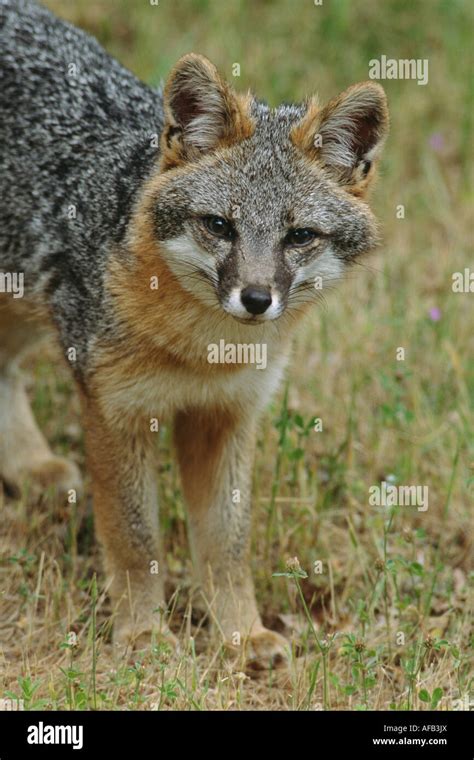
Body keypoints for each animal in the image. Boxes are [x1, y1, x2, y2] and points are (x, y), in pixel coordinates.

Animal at [0, 0, 388, 664]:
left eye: (299, 237)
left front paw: (242, 634)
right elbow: (135, 541)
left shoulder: (227, 414)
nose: (256, 300)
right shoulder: (115, 411)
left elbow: (226, 546)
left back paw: (28, 467)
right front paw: (144, 637)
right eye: (219, 226)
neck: (203, 354)